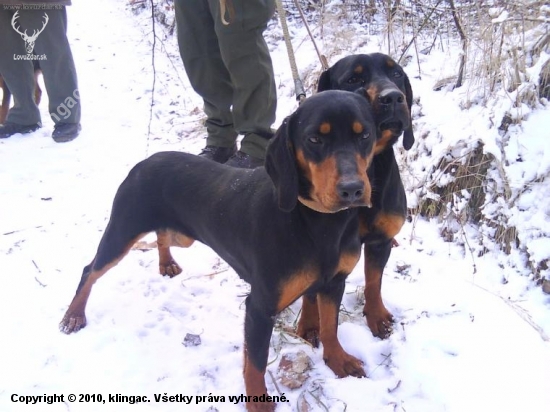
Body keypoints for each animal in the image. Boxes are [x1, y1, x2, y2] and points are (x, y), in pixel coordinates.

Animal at [59, 90, 380, 412]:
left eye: (364, 135)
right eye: (314, 139)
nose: (352, 189)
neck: (317, 222)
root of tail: (146, 160)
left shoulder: (334, 283)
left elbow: (330, 327)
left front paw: (338, 361)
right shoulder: (260, 307)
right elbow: (256, 362)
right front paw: (258, 401)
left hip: (180, 235)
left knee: (162, 235)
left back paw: (166, 263)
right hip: (123, 231)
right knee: (90, 270)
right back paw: (73, 315)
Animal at [298, 52, 414, 342]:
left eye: (396, 74)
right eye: (353, 79)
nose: (393, 97)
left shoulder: (378, 240)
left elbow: (374, 281)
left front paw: (377, 317)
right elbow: (310, 290)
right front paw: (309, 323)